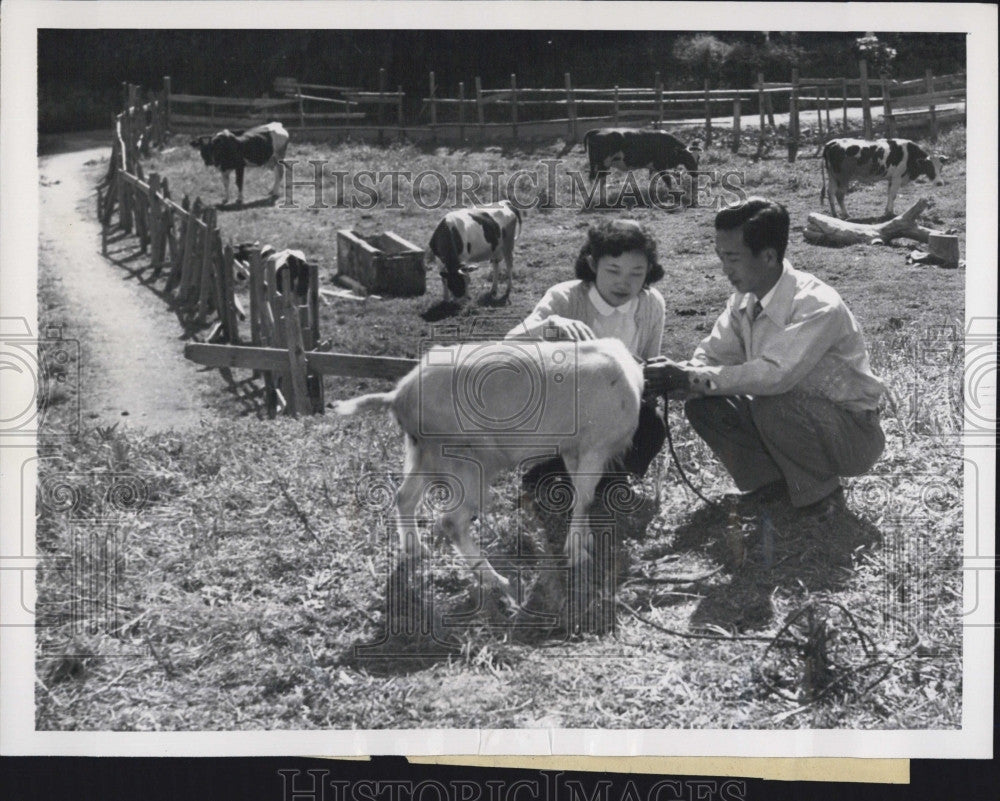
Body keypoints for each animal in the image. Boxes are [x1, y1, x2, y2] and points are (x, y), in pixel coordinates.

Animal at [332, 338, 644, 608]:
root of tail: (398, 395)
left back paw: (416, 550)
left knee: (403, 497)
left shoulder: (573, 449)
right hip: (464, 460)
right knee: (451, 522)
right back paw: (497, 580)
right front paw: (578, 554)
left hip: (424, 453)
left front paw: (585, 539)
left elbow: (580, 493)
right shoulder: (595, 445)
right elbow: (585, 499)